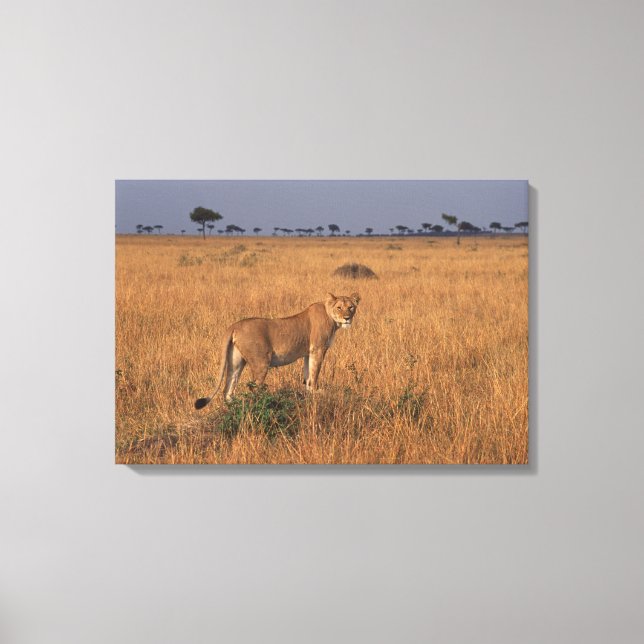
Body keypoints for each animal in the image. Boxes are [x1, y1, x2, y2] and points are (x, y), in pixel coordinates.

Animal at [195, 292, 360, 408]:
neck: (330, 316)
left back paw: (232, 408)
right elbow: (314, 373)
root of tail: (234, 325)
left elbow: (307, 374)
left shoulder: (308, 353)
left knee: (228, 389)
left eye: (351, 307)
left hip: (236, 362)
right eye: (339, 307)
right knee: (253, 388)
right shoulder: (318, 349)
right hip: (261, 362)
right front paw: (316, 392)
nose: (347, 318)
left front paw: (308, 393)